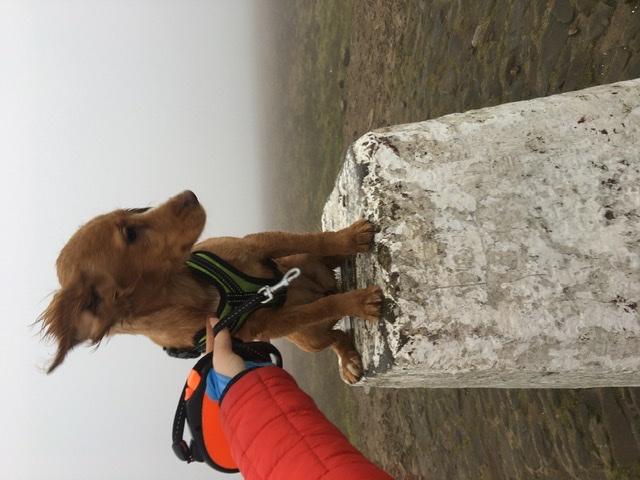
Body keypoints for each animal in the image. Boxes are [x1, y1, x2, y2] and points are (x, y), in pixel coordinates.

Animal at [41, 190, 380, 382]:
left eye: (133, 211)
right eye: (130, 234)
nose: (190, 194)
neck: (193, 291)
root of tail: (328, 283)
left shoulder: (258, 244)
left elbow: (316, 239)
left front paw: (350, 238)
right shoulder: (270, 322)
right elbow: (320, 307)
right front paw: (360, 302)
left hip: (305, 263)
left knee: (323, 255)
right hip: (309, 338)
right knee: (333, 330)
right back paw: (348, 357)